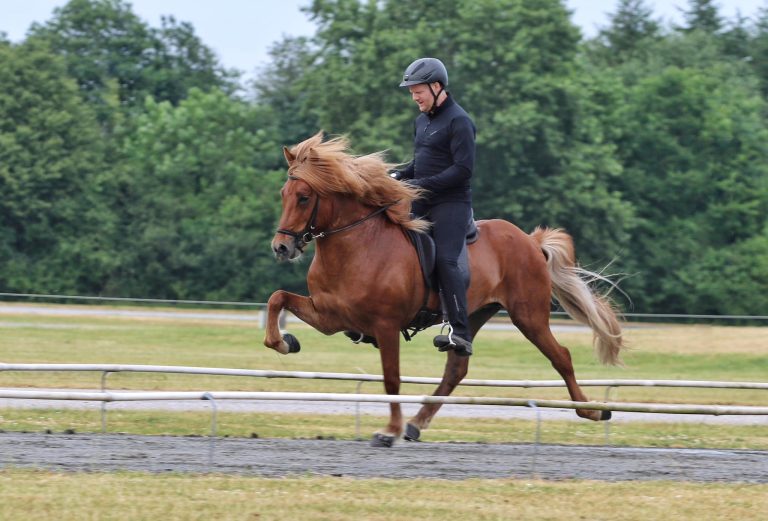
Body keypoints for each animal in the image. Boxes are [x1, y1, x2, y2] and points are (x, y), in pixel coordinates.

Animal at [264, 132, 624, 444]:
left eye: (304, 197)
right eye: (282, 194)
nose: (281, 247)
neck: (358, 245)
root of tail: (530, 241)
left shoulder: (385, 325)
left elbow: (391, 377)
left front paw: (389, 431)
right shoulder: (330, 316)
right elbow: (277, 299)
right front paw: (285, 342)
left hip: (529, 316)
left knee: (561, 356)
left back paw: (592, 411)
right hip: (473, 315)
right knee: (456, 368)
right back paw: (416, 423)